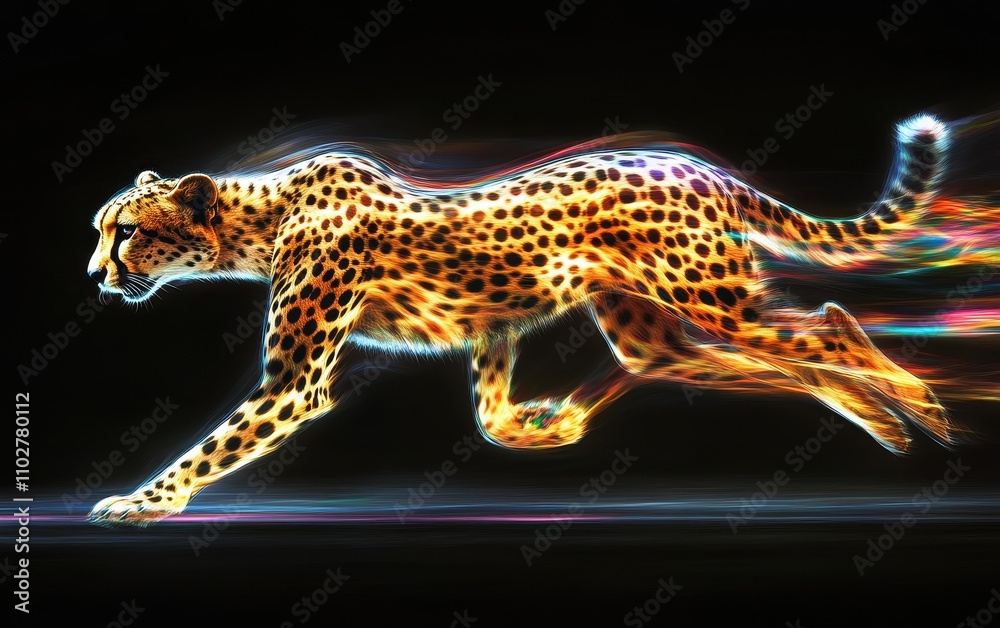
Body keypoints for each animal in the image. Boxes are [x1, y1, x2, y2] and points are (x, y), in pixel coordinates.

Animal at [86, 113, 962, 526]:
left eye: (124, 231)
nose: (95, 276)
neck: (259, 219)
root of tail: (700, 165)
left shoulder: (293, 386)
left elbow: (209, 448)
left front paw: (141, 503)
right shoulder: (492, 327)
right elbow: (492, 417)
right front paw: (552, 423)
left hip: (712, 297)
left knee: (829, 322)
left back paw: (922, 405)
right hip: (654, 328)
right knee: (760, 358)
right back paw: (888, 424)